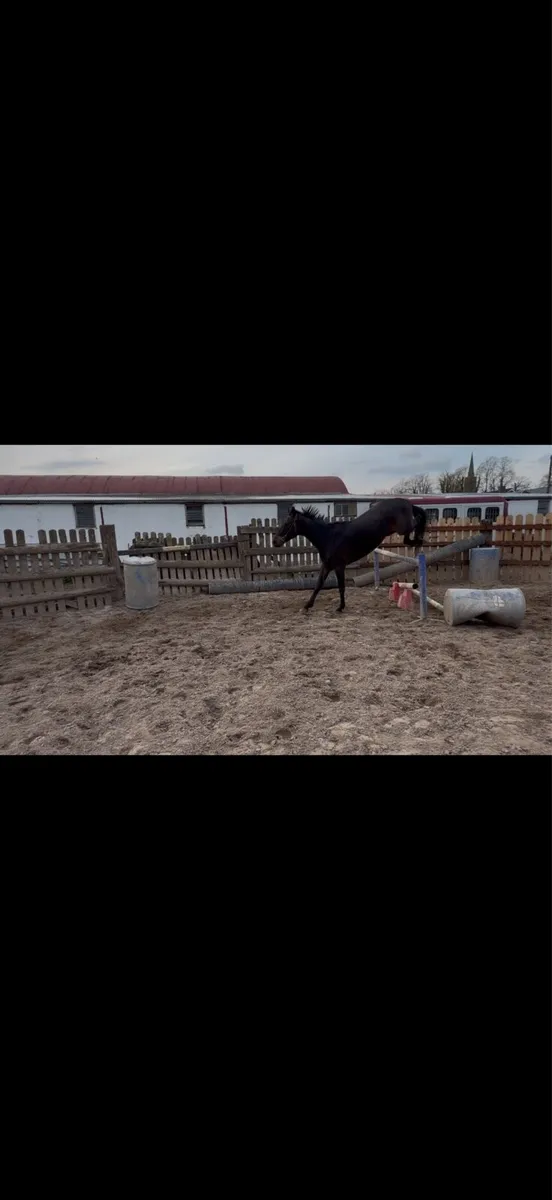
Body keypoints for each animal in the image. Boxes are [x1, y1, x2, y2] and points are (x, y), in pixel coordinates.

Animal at [272, 499, 427, 613]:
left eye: (287, 523)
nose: (275, 541)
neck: (328, 537)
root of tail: (406, 502)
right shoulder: (327, 565)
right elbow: (318, 585)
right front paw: (306, 606)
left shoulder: (339, 566)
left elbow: (341, 587)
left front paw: (340, 607)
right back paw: (417, 541)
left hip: (403, 528)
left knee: (417, 521)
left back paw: (419, 539)